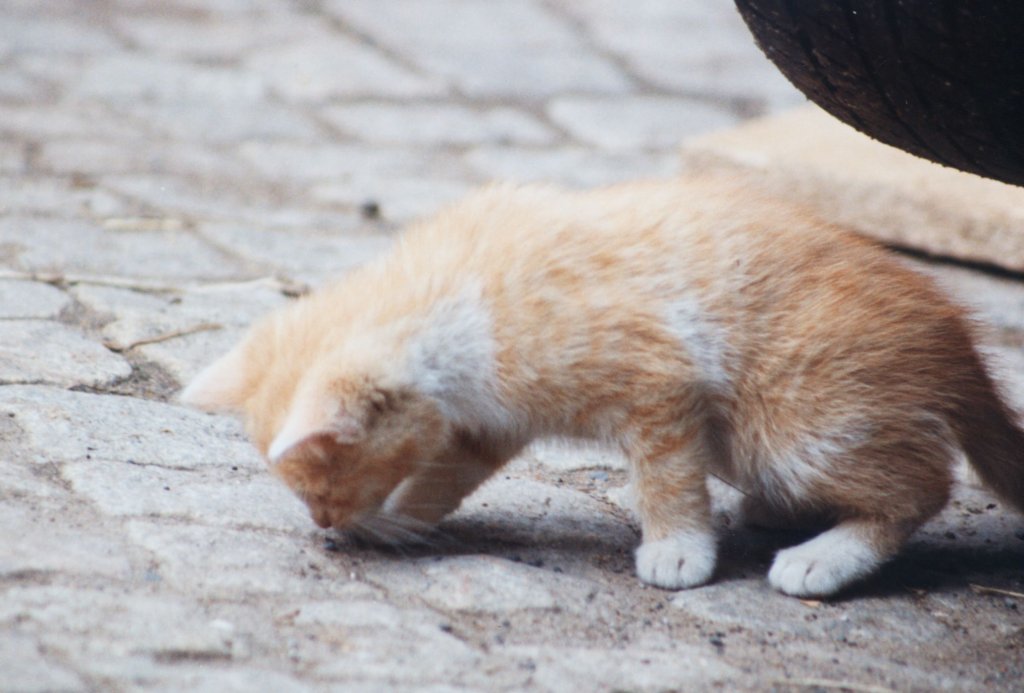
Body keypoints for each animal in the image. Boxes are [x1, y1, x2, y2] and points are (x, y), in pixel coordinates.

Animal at [184, 176, 1024, 597]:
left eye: (328, 482)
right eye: (311, 496)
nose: (326, 526)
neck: (458, 294)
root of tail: (955, 338)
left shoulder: (662, 384)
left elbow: (667, 476)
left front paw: (679, 550)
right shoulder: (490, 419)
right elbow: (447, 474)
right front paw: (402, 520)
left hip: (795, 421)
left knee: (922, 487)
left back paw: (823, 557)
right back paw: (775, 514)